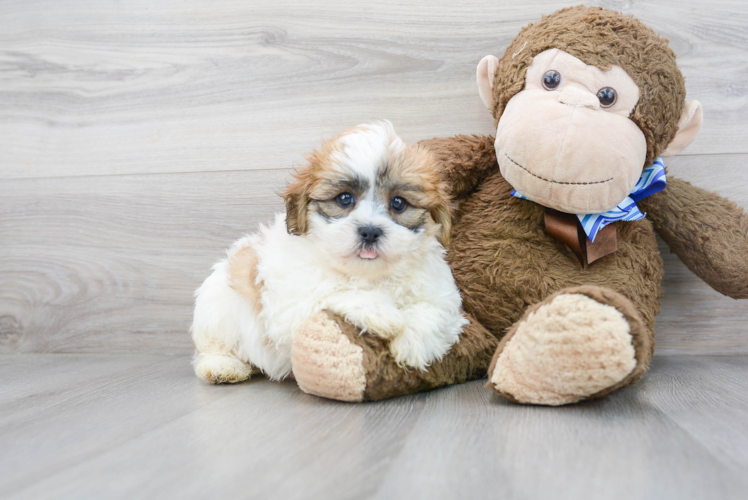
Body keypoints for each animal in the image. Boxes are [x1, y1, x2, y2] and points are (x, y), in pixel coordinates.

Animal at [190, 121, 468, 382]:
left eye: (398, 203)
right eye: (344, 199)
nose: (369, 231)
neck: (370, 274)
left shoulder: (441, 295)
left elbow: (433, 311)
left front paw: (413, 345)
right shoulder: (290, 303)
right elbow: (336, 290)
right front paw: (384, 314)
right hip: (215, 311)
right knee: (211, 348)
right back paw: (223, 367)